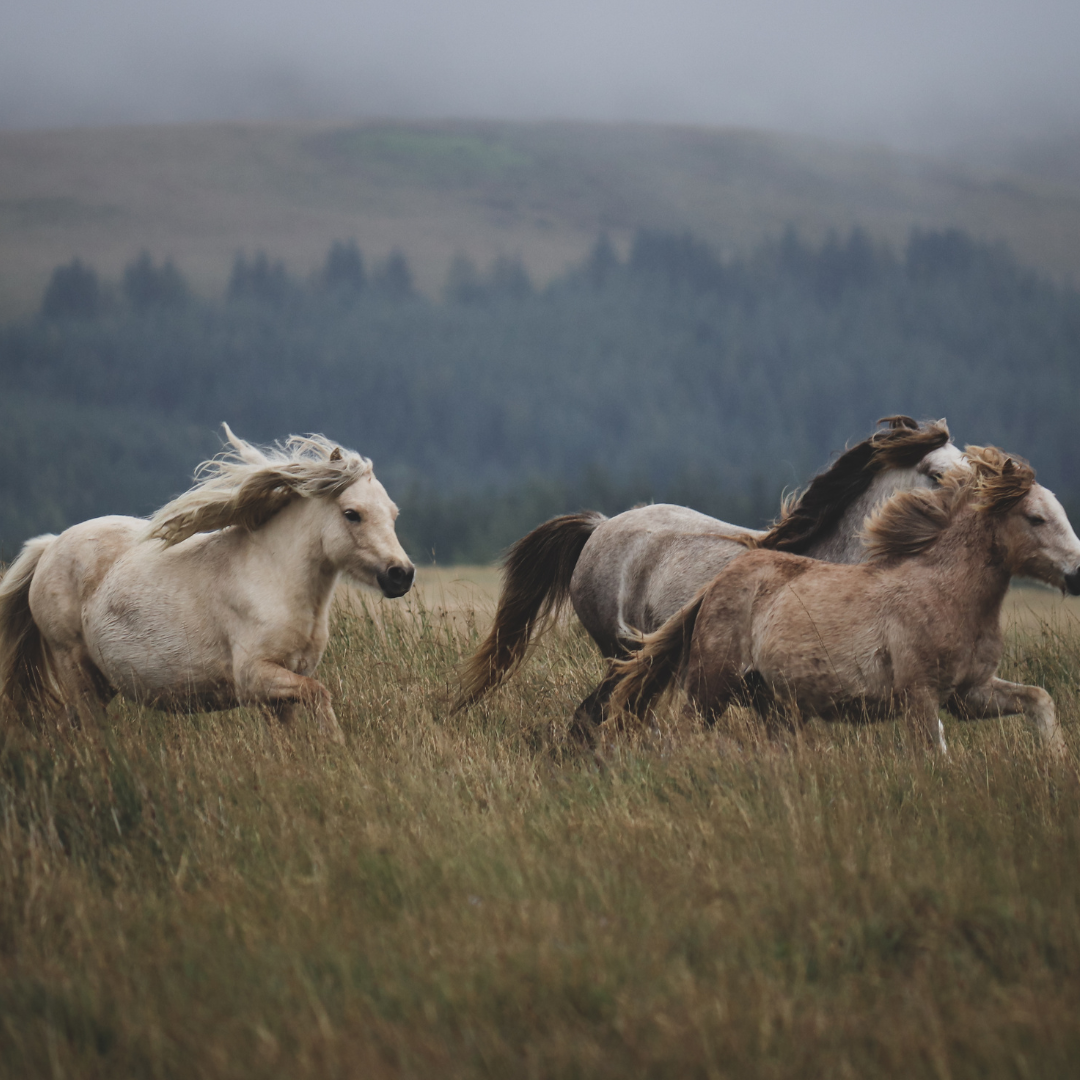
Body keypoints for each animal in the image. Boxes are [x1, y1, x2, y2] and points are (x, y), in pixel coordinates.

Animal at [0, 427, 415, 741]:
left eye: (394, 514)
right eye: (352, 514)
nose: (402, 574)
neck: (274, 579)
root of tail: (49, 545)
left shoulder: (280, 693)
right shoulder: (254, 678)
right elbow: (321, 695)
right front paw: (337, 746)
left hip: (100, 683)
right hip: (74, 666)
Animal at [607, 447, 1080, 755]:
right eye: (1035, 518)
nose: (1077, 574)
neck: (946, 592)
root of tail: (717, 584)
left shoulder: (969, 693)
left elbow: (1040, 700)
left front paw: (1055, 763)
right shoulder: (920, 695)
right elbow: (935, 754)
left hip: (776, 706)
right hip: (711, 686)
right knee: (683, 734)